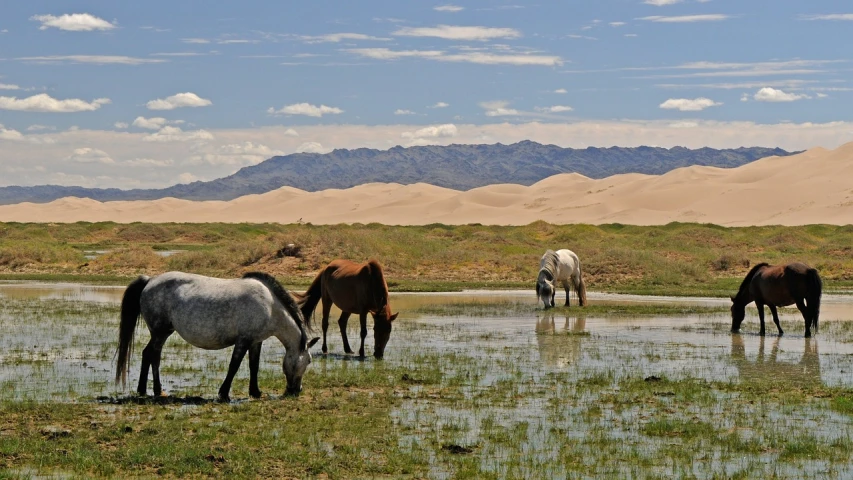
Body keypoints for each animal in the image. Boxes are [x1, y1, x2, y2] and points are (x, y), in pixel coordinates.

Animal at [116, 270, 320, 402]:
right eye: (309, 361)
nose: (296, 391)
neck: (269, 305)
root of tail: (150, 280)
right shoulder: (243, 340)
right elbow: (234, 365)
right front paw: (224, 393)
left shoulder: (256, 341)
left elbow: (254, 366)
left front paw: (255, 392)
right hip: (160, 332)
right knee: (154, 356)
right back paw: (158, 391)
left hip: (161, 333)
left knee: (147, 354)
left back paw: (142, 390)